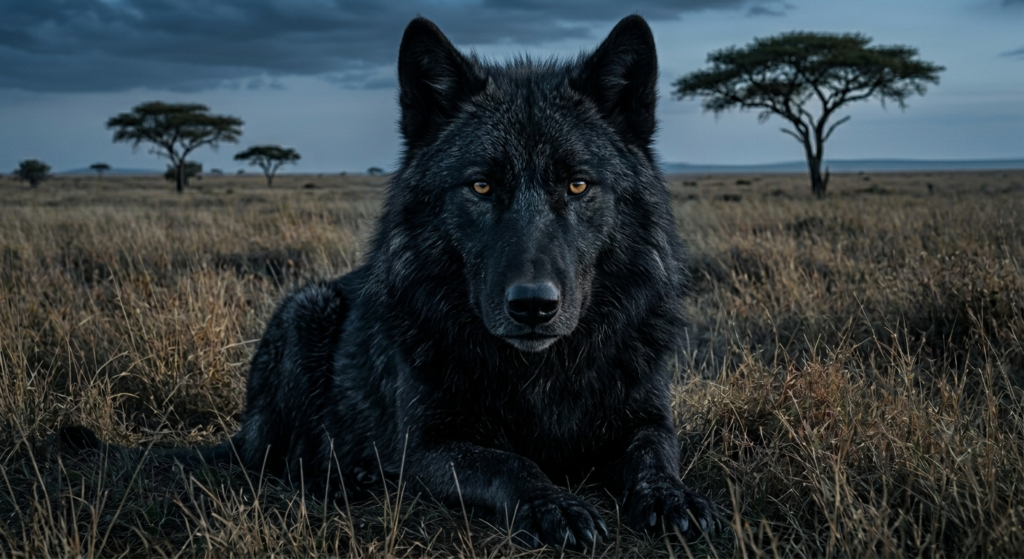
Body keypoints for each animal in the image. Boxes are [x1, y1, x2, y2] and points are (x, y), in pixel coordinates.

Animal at [61, 15, 716, 549]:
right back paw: (354, 477)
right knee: (289, 462)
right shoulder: (428, 446)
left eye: (578, 184)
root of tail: (243, 433)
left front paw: (671, 499)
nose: (533, 306)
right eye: (481, 186)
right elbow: (514, 465)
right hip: (306, 308)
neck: (539, 374)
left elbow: (656, 457)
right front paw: (556, 504)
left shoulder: (646, 419)